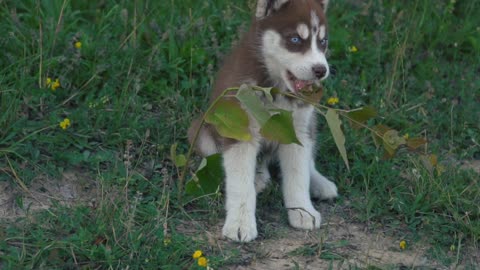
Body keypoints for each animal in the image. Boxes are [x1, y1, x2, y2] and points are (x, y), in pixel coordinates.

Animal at [188, 0, 338, 242]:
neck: (274, 89)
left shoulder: (297, 129)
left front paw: (302, 210)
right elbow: (240, 182)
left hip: (310, 124)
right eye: (295, 39)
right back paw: (258, 178)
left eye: (323, 42)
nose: (321, 70)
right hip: (201, 130)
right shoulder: (238, 129)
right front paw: (240, 223)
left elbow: (298, 175)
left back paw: (320, 183)